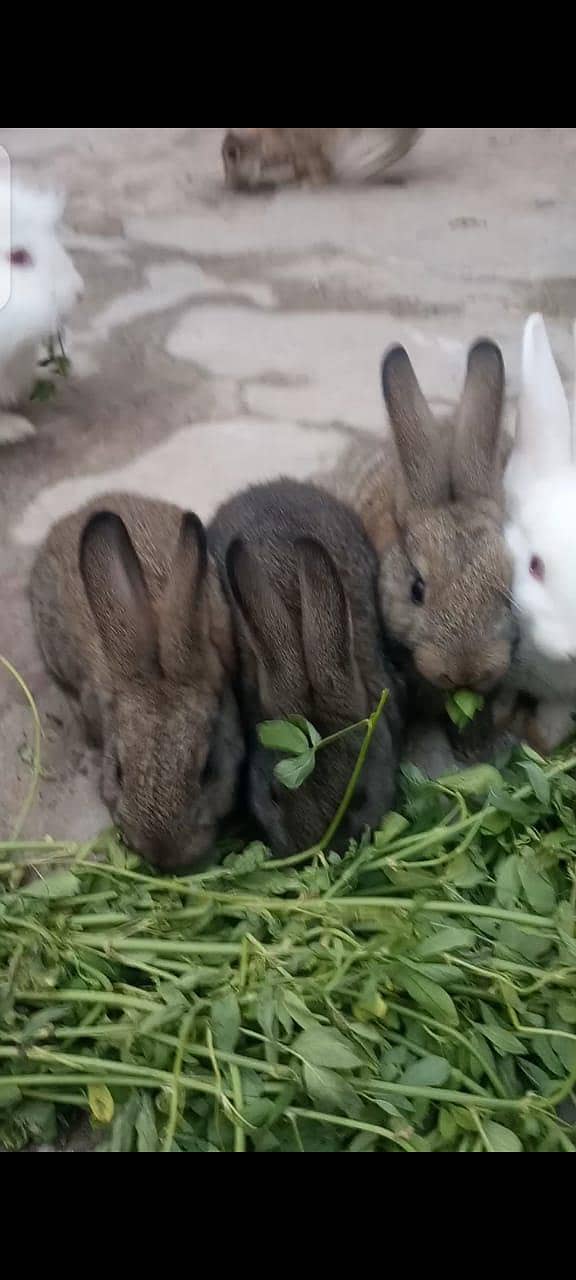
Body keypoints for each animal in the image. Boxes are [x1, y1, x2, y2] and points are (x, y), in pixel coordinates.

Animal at [222, 129, 424, 191]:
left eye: (232, 155)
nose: (230, 185)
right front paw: (297, 179)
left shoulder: (310, 149)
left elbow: (318, 166)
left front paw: (310, 183)